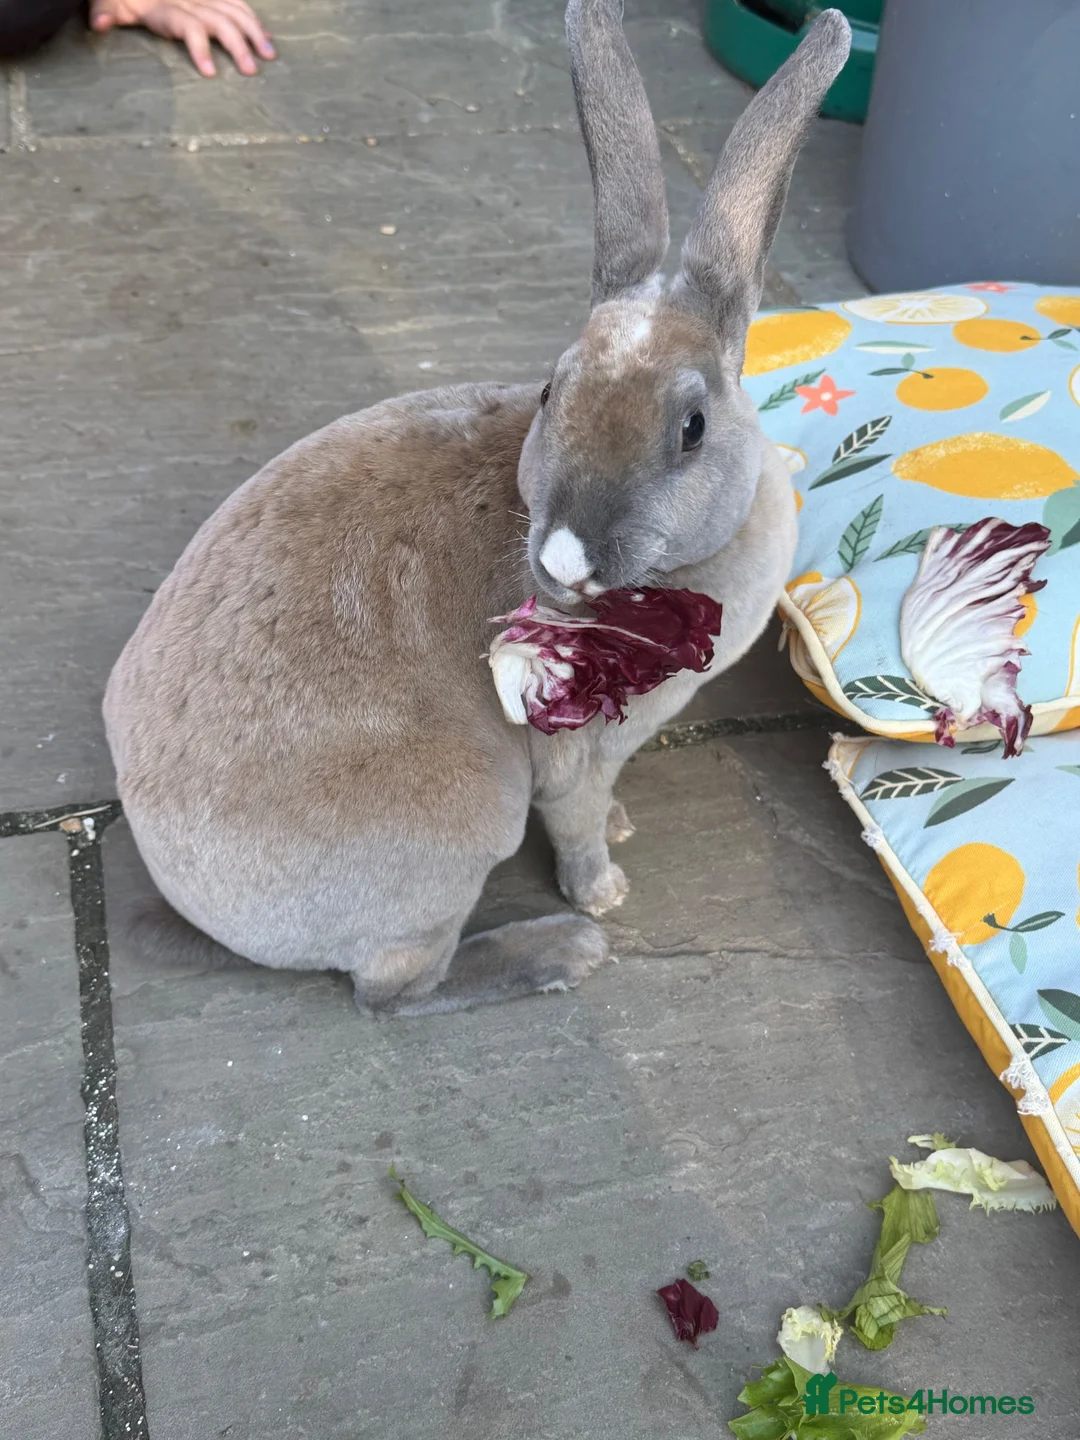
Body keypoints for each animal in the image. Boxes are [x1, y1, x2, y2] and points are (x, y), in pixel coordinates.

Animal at [103, 1, 851, 1016]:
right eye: (551, 391)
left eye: (693, 427)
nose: (566, 560)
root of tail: (189, 896)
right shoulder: (577, 752)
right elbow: (574, 821)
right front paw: (606, 888)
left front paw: (623, 830)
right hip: (466, 819)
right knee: (392, 993)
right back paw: (565, 950)